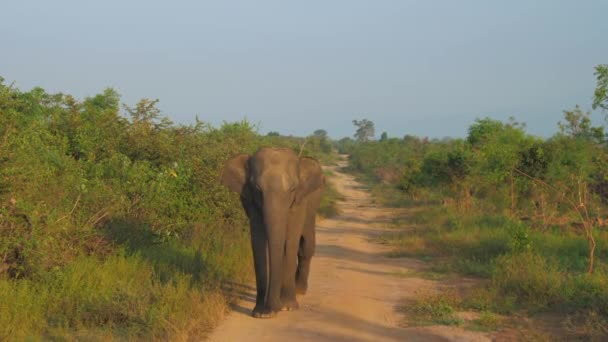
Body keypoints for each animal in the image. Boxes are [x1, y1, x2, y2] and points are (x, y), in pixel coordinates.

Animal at [221, 147, 326, 318]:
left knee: (306, 244)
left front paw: (288, 307)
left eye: (293, 189)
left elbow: (290, 240)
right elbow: (258, 242)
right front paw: (260, 313)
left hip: (313, 206)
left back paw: (299, 290)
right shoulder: (250, 201)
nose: (272, 309)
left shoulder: (299, 201)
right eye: (257, 189)